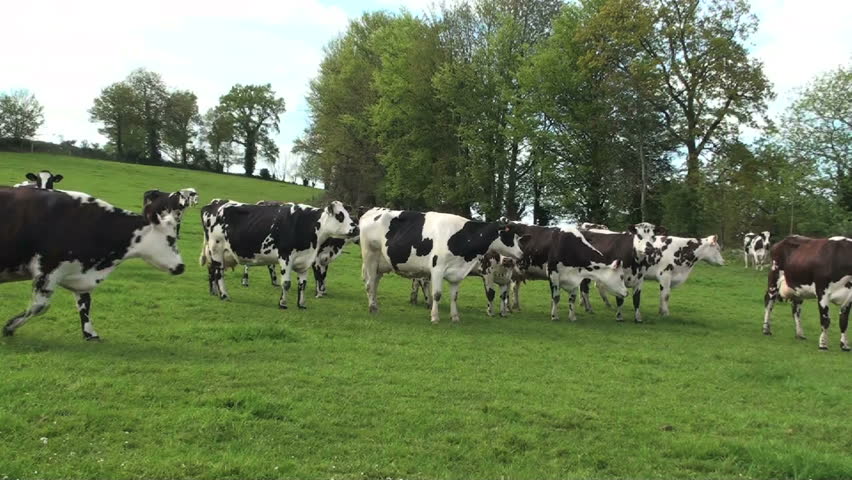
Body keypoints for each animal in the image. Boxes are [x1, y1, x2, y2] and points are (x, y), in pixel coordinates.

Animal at [0, 187, 185, 340]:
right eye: (170, 239)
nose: (181, 267)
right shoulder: (47, 271)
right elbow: (39, 306)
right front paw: (9, 327)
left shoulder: (78, 271)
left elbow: (85, 303)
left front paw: (90, 333)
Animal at [201, 200, 358, 309]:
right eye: (340, 216)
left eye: (349, 215)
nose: (356, 229)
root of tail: (213, 204)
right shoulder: (285, 256)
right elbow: (287, 283)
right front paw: (282, 303)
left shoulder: (306, 260)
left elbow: (303, 284)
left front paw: (302, 304)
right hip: (216, 249)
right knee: (219, 272)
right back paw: (224, 295)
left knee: (211, 269)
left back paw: (214, 291)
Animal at [359, 209, 530, 324]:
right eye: (508, 236)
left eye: (519, 237)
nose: (521, 254)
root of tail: (372, 211)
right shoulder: (437, 269)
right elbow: (437, 294)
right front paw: (435, 317)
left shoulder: (457, 273)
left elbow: (454, 296)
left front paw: (455, 317)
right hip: (369, 255)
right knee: (369, 284)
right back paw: (372, 308)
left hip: (381, 264)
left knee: (374, 284)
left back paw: (375, 305)